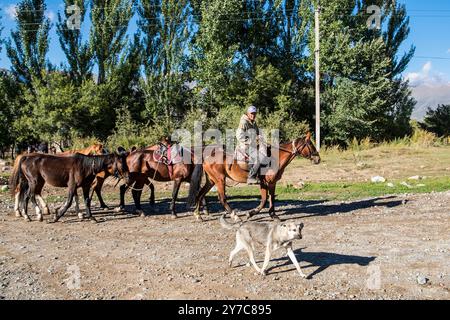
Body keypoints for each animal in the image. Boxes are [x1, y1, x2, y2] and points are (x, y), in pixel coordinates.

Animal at [186, 132, 320, 220]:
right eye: (310, 144)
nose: (318, 159)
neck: (275, 157)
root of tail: (207, 155)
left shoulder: (272, 183)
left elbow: (271, 198)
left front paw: (273, 215)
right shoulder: (265, 183)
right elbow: (264, 200)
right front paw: (250, 213)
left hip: (211, 180)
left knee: (200, 194)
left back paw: (198, 215)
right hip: (219, 180)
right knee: (222, 198)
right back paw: (235, 216)